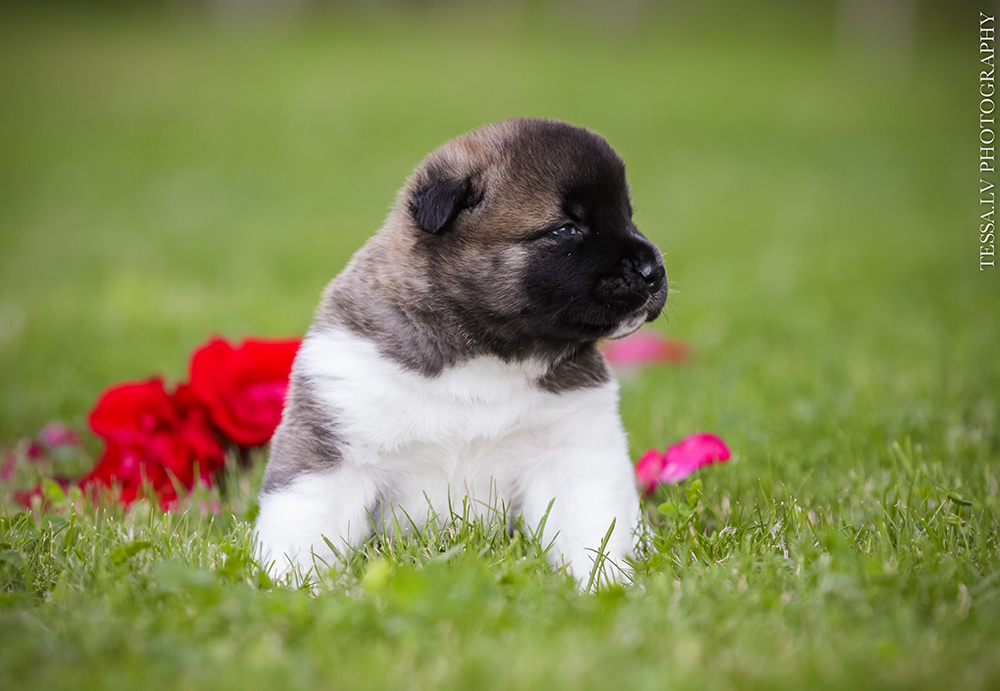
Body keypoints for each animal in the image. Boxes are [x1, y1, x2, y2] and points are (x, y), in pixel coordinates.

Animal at [254, 117, 668, 584]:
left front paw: (604, 583)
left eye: (627, 216)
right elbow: (305, 521)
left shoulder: (573, 449)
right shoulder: (335, 443)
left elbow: (592, 526)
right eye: (566, 228)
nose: (653, 271)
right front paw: (292, 583)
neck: (485, 350)